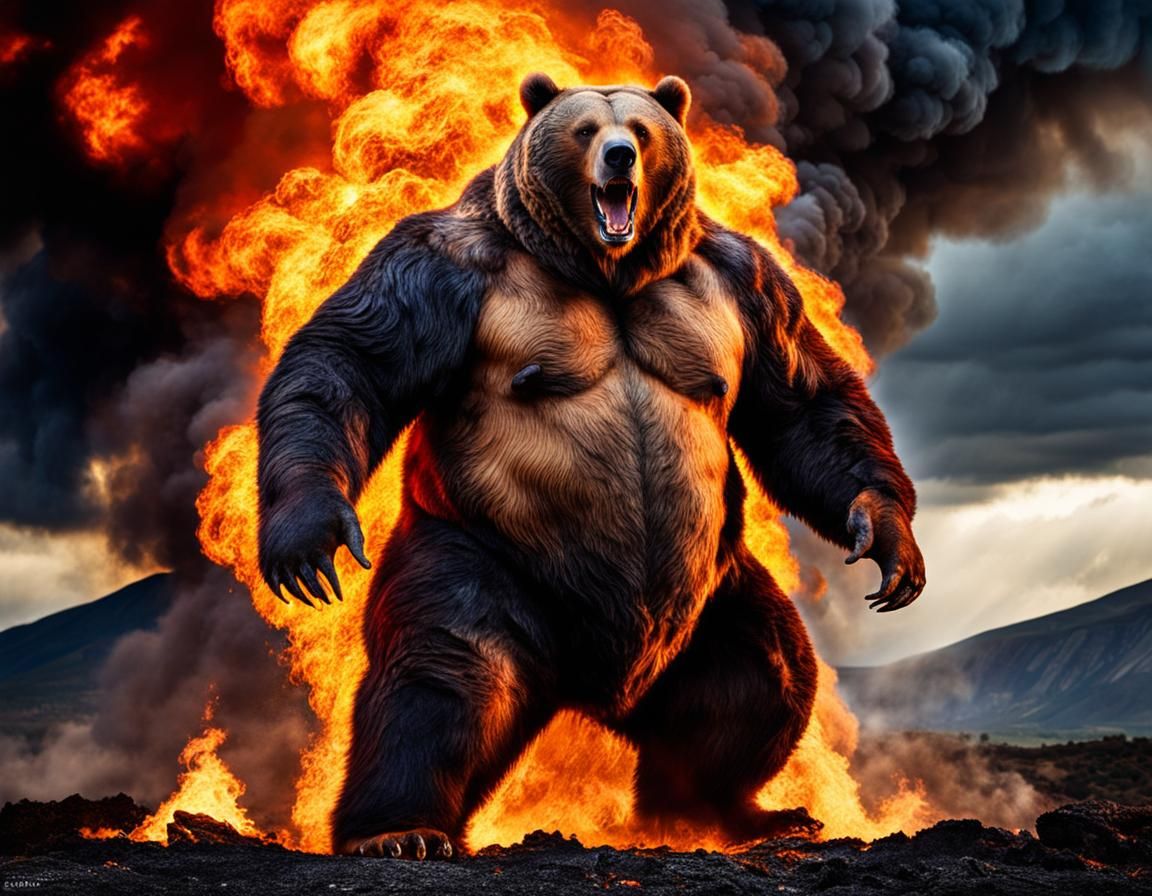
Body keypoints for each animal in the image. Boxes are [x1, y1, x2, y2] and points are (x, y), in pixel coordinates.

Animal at [255, 73, 925, 860]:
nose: (619, 158)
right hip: (487, 554)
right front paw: (307, 536)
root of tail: (598, 690)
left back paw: (731, 811)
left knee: (760, 675)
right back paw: (399, 828)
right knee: (445, 671)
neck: (608, 272)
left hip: (710, 593)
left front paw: (888, 540)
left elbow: (803, 400)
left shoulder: (740, 283)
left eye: (641, 128)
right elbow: (349, 357)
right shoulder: (451, 269)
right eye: (584, 130)